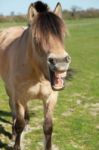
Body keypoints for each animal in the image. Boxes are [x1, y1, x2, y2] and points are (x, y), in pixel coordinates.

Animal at [0, 1, 71, 150]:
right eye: (36, 38)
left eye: (62, 35)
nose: (60, 62)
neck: (38, 75)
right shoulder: (19, 97)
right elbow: (19, 124)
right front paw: (16, 144)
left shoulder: (51, 98)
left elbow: (48, 127)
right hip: (10, 89)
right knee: (12, 107)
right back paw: (13, 133)